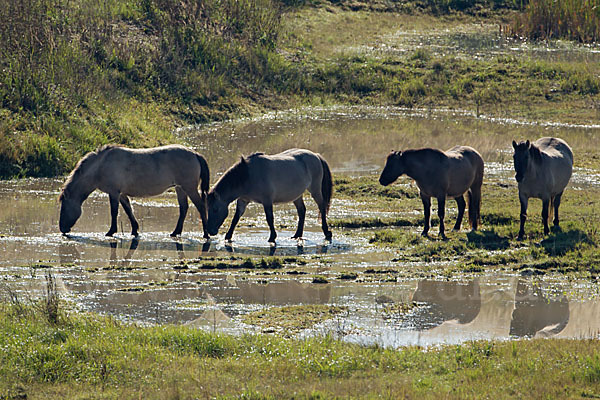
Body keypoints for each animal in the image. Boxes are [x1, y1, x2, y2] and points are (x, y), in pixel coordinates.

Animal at [58, 144, 209, 238]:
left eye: (64, 207)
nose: (62, 229)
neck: (101, 166)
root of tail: (195, 154)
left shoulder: (114, 193)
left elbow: (114, 212)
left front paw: (111, 231)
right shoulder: (121, 194)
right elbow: (128, 210)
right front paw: (135, 230)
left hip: (189, 188)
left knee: (201, 206)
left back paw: (206, 234)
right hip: (180, 188)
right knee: (184, 208)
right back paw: (175, 232)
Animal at [207, 149, 336, 244]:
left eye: (215, 209)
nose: (211, 231)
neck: (247, 175)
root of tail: (316, 155)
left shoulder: (267, 201)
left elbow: (270, 219)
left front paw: (272, 237)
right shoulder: (243, 200)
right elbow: (235, 218)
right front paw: (228, 236)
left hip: (315, 190)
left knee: (322, 206)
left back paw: (326, 232)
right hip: (296, 196)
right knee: (302, 211)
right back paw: (297, 235)